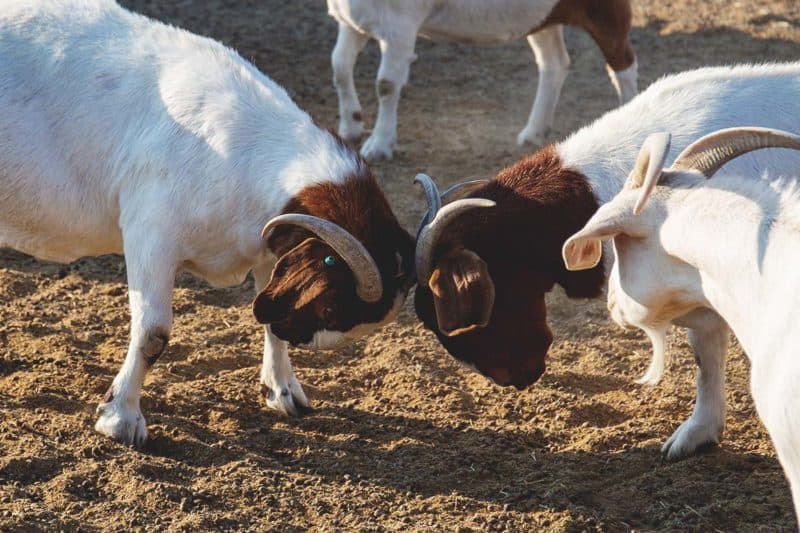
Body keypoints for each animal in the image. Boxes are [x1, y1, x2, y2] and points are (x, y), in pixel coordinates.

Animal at [0, 0, 413, 446]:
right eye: (333, 307)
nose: (298, 332)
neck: (242, 150)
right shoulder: (151, 234)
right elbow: (153, 333)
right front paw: (120, 417)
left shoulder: (270, 246)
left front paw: (284, 392)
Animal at [327, 0, 637, 160]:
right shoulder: (351, 21)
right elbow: (339, 66)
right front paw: (350, 126)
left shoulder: (400, 27)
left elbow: (386, 85)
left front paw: (379, 145)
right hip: (543, 17)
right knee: (554, 63)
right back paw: (533, 132)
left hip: (605, 12)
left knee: (624, 66)